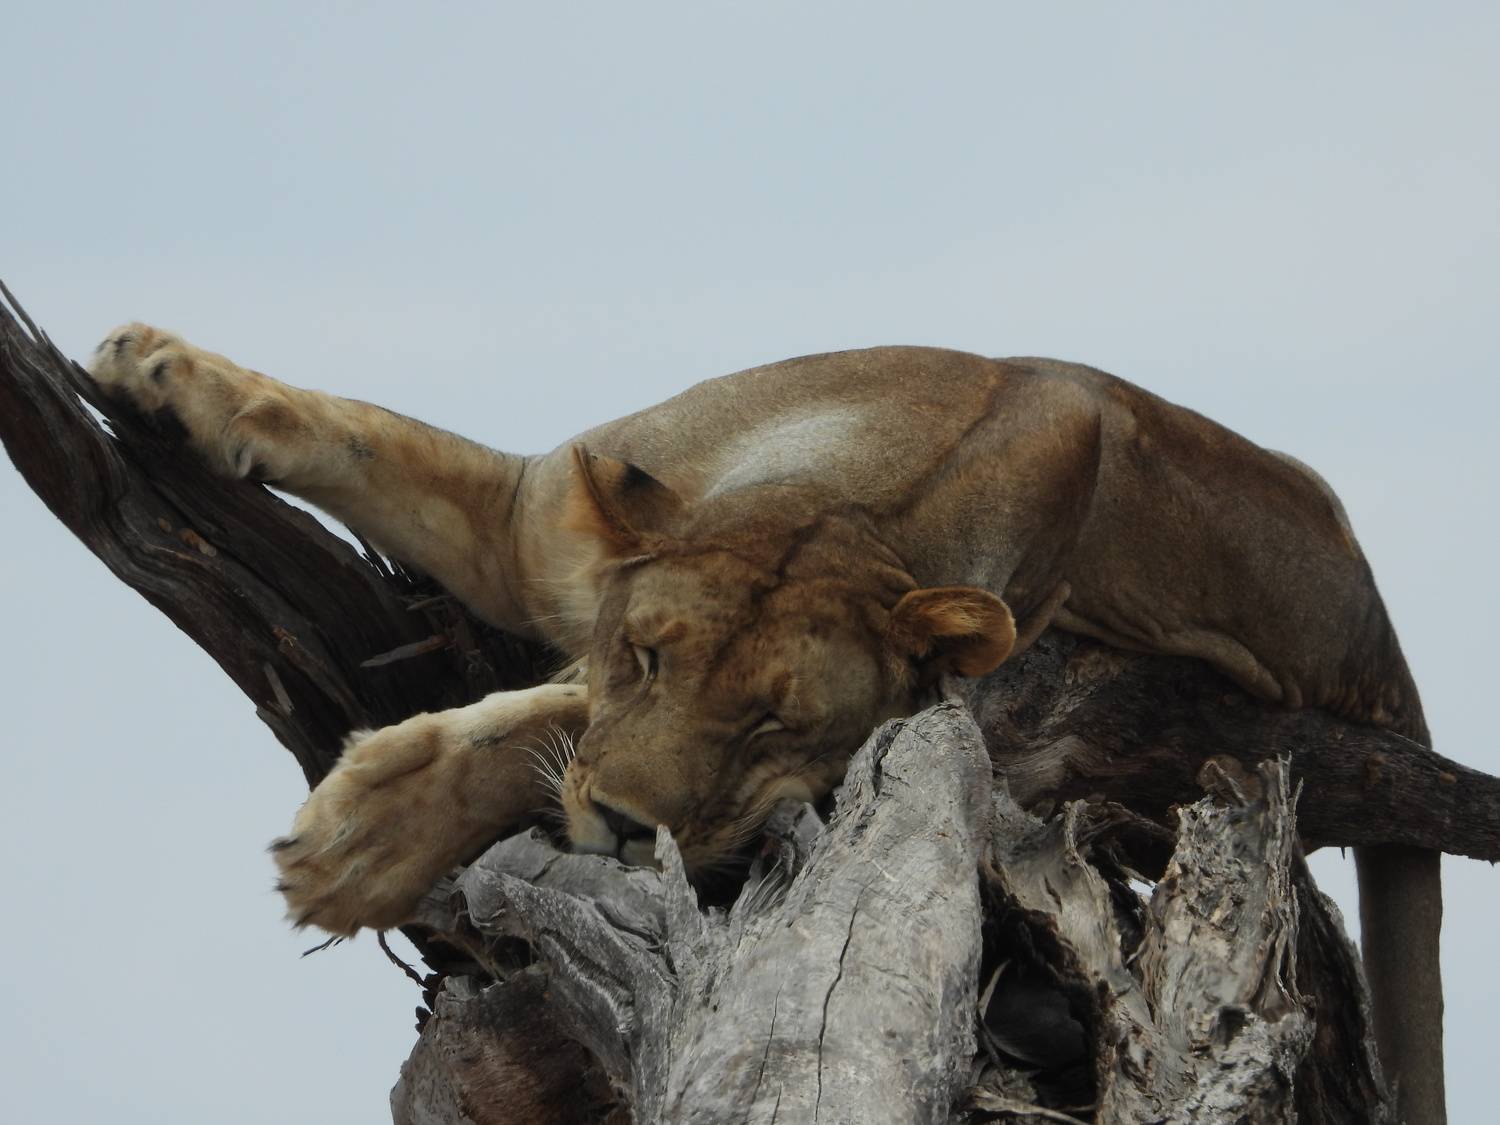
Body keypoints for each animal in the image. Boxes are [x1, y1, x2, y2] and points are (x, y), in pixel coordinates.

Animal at [87, 323, 1444, 1122]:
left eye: (771, 731)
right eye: (647, 654)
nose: (624, 832)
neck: (849, 488)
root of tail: (1387, 642)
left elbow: (543, 721)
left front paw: (362, 837)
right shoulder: (535, 514)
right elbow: (371, 433)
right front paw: (160, 370)